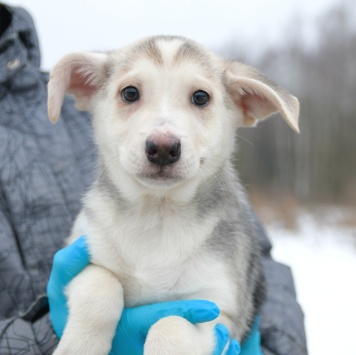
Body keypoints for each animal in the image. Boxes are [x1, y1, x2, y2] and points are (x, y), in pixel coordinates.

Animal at [46, 34, 298, 354]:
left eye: (200, 97)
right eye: (130, 93)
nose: (163, 147)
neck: (157, 215)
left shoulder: (218, 309)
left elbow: (170, 325)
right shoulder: (84, 255)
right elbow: (101, 287)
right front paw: (79, 346)